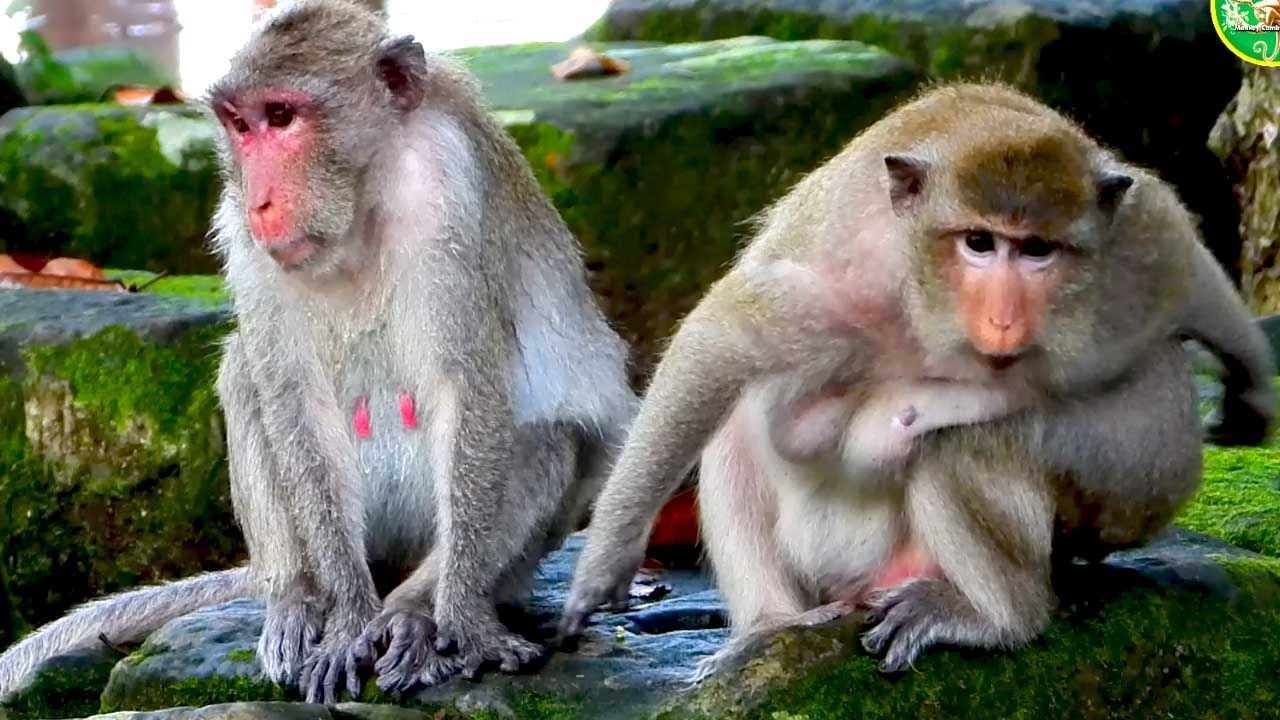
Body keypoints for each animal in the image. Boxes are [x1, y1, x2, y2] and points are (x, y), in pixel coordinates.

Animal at [0, 0, 637, 705]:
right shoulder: (239, 230)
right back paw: (299, 598)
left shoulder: (446, 191)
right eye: (241, 124)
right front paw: (348, 620)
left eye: (283, 116)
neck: (364, 198)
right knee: (246, 371)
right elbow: (292, 396)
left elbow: (466, 389)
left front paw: (461, 617)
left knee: (547, 440)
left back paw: (414, 611)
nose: (261, 200)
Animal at [558, 82, 1276, 677]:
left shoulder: (1128, 255)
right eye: (979, 243)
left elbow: (1180, 253)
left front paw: (1249, 384)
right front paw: (609, 556)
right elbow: (724, 339)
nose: (1004, 319)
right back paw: (773, 624)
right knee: (737, 432)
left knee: (967, 443)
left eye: (1037, 250)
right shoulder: (854, 280)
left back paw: (1000, 618)